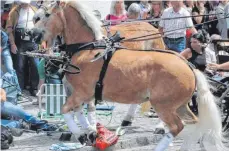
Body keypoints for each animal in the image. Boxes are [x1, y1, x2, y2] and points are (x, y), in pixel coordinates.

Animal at [30, 1, 227, 151]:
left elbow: (66, 110)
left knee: (176, 126)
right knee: (193, 123)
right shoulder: (79, 93)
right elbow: (78, 111)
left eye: (46, 14)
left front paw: (82, 134)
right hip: (179, 106)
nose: (32, 34)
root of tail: (189, 66)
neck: (89, 49)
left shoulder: (83, 92)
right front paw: (89, 132)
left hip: (163, 105)